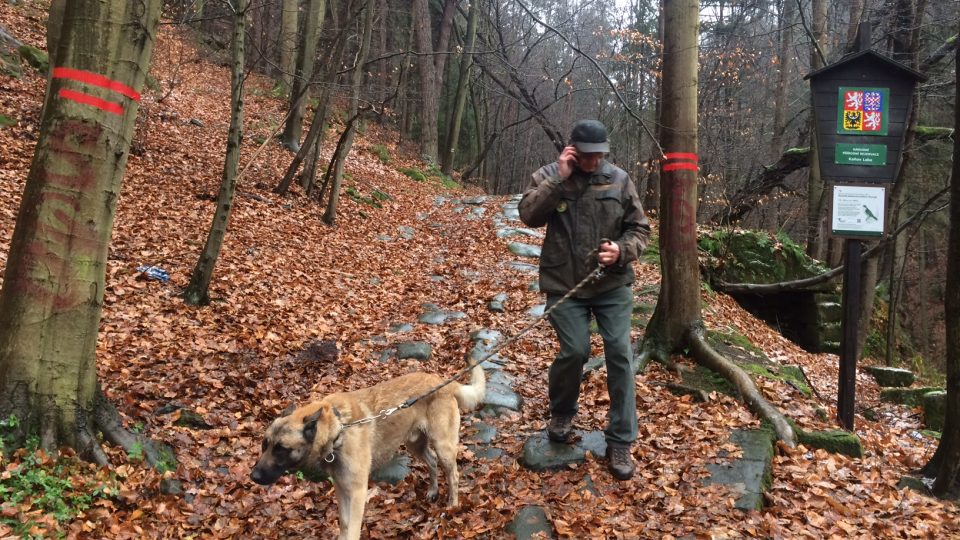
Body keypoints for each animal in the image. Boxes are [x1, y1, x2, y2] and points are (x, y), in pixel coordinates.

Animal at [251, 358, 484, 540]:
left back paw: (453, 505)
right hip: (415, 445)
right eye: (265, 445)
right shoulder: (342, 490)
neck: (338, 429)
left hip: (443, 446)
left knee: (453, 475)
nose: (253, 476)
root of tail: (443, 384)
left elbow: (352, 531)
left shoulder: (356, 493)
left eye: (281, 449)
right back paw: (433, 491)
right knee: (432, 462)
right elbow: (344, 526)